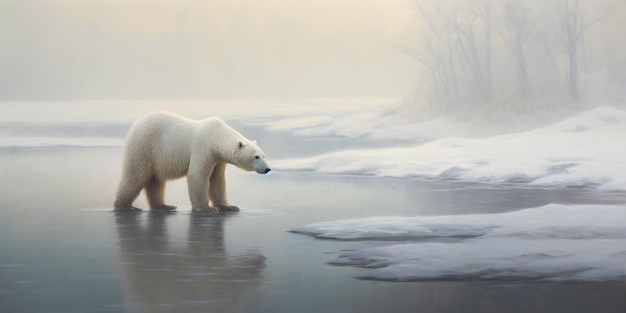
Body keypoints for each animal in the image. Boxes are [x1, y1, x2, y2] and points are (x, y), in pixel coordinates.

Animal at [113, 111, 270, 211]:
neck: (216, 136)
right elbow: (198, 175)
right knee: (135, 176)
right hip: (144, 146)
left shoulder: (218, 159)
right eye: (256, 156)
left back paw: (164, 206)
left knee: (156, 181)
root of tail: (135, 125)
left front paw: (229, 206)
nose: (267, 169)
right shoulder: (203, 148)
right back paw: (125, 206)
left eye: (264, 156)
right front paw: (206, 209)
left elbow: (217, 179)